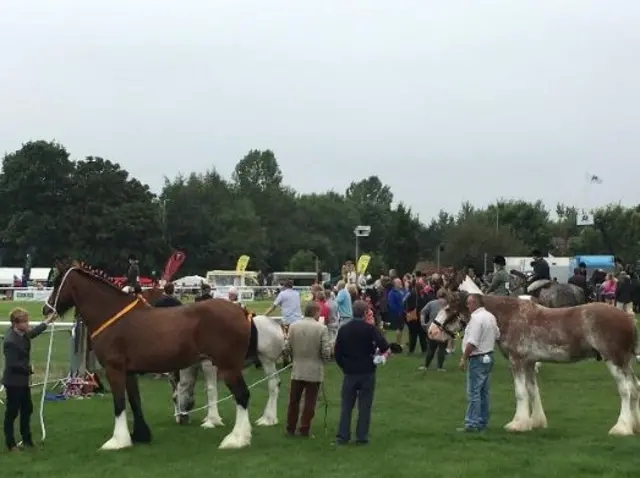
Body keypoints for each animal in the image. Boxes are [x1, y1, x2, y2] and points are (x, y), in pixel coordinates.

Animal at [40, 264, 258, 450]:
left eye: (58, 283)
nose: (46, 309)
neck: (112, 315)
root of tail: (242, 312)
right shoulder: (129, 372)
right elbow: (134, 401)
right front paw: (139, 435)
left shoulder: (114, 369)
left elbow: (119, 402)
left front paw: (117, 441)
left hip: (228, 367)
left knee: (242, 395)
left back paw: (236, 439)